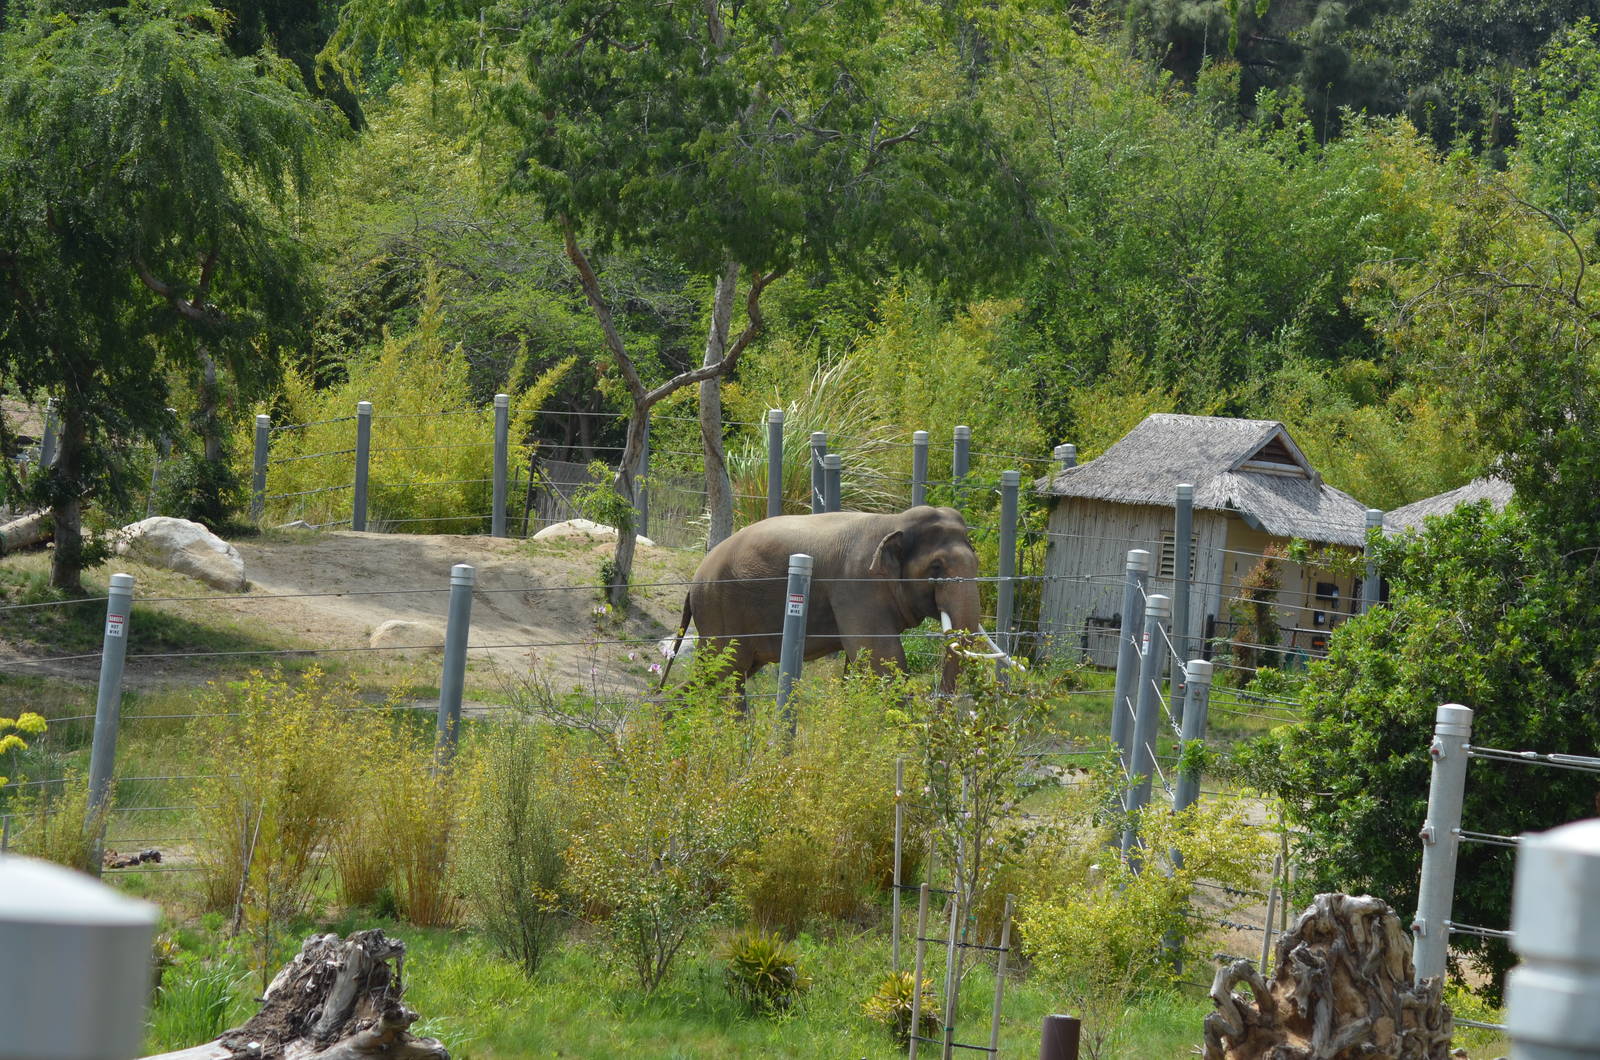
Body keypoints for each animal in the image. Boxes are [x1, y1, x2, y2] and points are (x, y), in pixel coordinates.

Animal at [660, 505, 1016, 695]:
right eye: (937, 568)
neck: (894, 521)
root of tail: (694, 581)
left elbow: (862, 662)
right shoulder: (856, 584)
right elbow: (881, 658)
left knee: (718, 676)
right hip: (720, 608)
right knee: (726, 675)